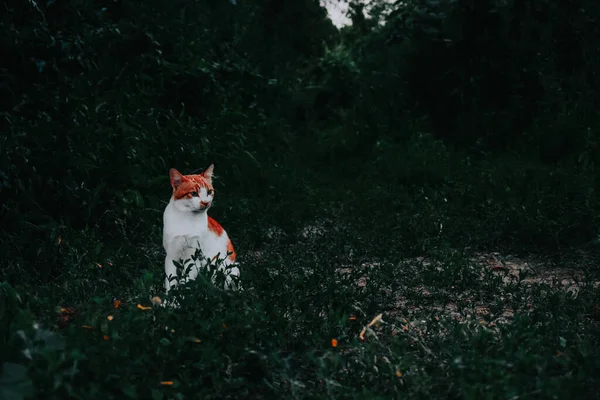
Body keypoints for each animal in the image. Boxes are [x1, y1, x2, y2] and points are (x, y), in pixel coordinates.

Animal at [164, 164, 241, 292]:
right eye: (194, 193)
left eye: (209, 192)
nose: (205, 202)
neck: (187, 219)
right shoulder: (171, 255)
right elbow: (171, 281)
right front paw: (169, 297)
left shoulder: (193, 257)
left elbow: (186, 281)